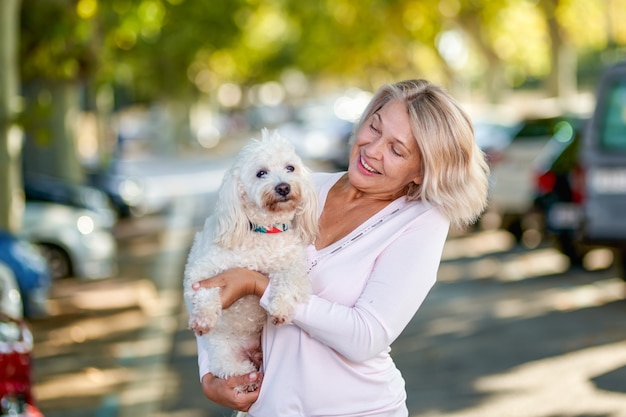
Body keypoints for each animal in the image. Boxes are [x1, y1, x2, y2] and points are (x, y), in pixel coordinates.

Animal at [180, 128, 316, 388]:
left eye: (290, 168)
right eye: (261, 173)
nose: (283, 187)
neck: (264, 231)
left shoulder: (294, 268)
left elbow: (289, 282)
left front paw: (280, 309)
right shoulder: (201, 271)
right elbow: (204, 291)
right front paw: (203, 317)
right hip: (224, 356)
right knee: (233, 369)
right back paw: (249, 380)